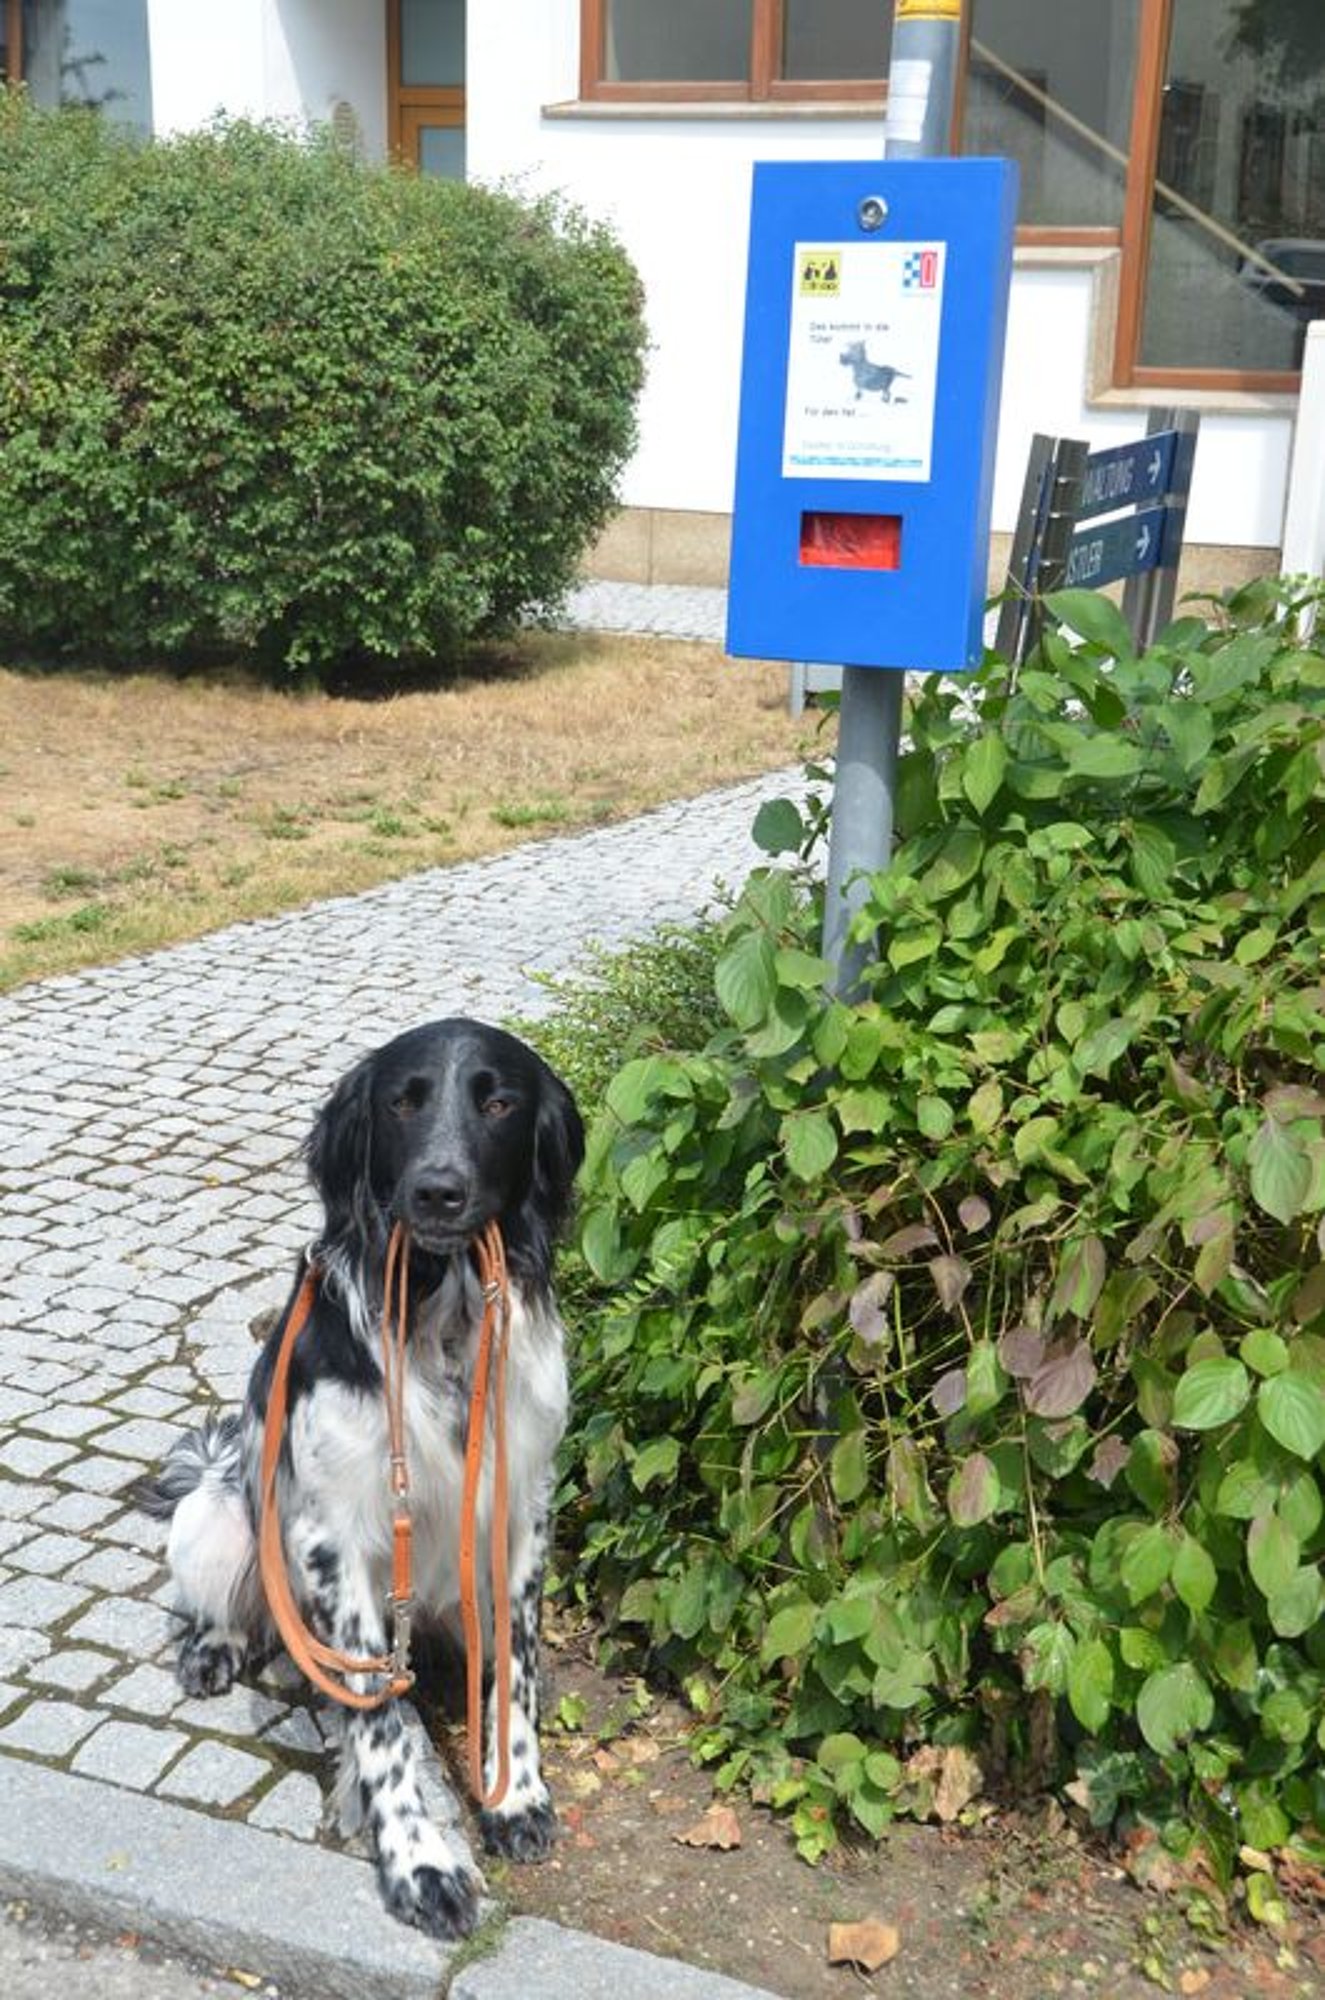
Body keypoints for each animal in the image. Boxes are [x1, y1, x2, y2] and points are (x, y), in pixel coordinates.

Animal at [143, 1016, 584, 1936]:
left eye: (497, 1102)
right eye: (400, 1103)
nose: (439, 1192)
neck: (440, 1318)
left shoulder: (522, 1511)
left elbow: (517, 1676)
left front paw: (515, 1795)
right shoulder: (333, 1537)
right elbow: (378, 1719)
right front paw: (420, 1863)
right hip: (215, 1517)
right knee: (228, 1610)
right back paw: (214, 1649)